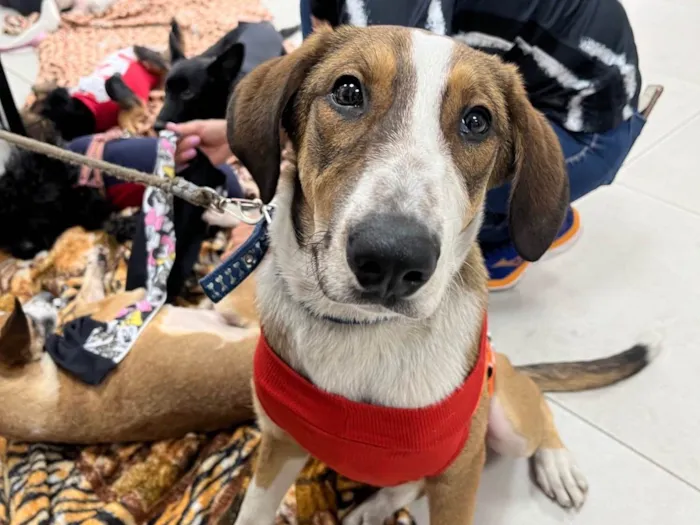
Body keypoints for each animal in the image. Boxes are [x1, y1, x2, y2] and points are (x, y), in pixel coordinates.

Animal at [227, 25, 660, 524]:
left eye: (477, 121)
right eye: (348, 91)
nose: (393, 259)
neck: (362, 332)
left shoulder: (459, 474)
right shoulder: (279, 446)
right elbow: (253, 511)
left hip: (505, 422)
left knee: (537, 407)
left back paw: (556, 463)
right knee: (410, 482)